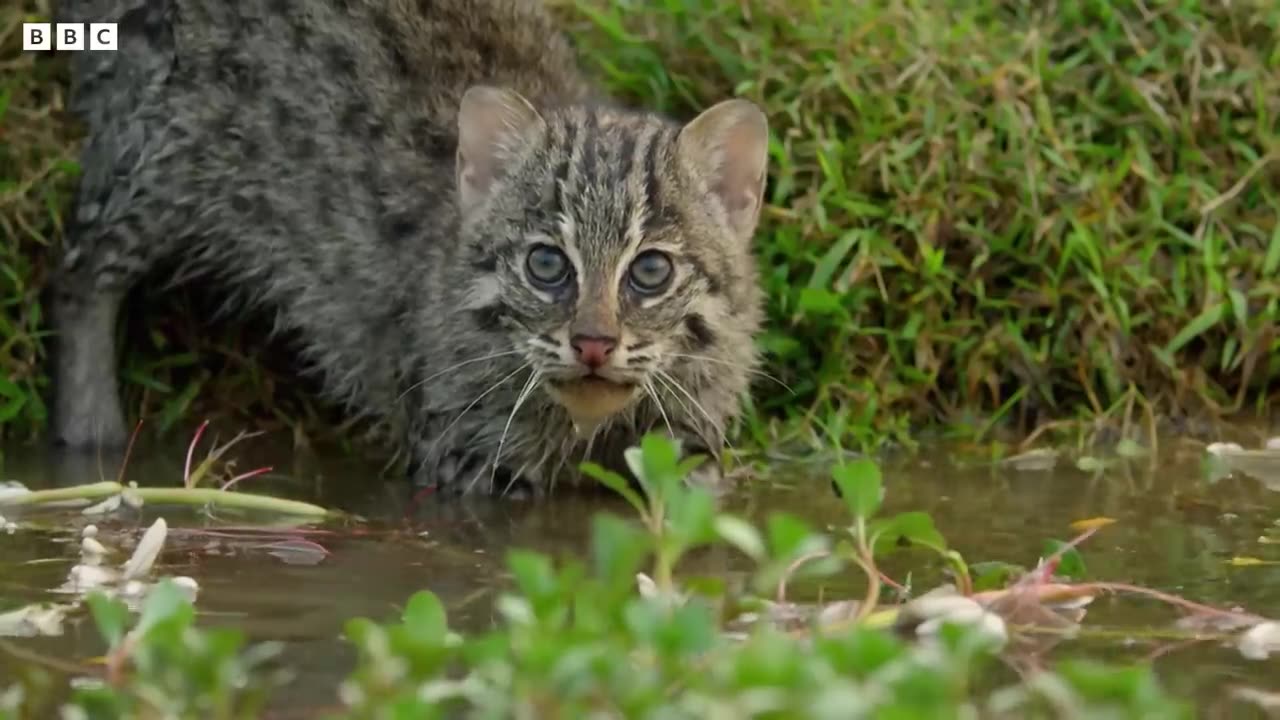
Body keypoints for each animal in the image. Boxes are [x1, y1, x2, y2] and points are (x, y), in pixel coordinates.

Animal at [49, 0, 762, 489]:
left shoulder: (689, 444)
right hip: (159, 154)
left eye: (650, 271)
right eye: (546, 264)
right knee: (80, 267)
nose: (592, 344)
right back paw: (89, 435)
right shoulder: (462, 455)